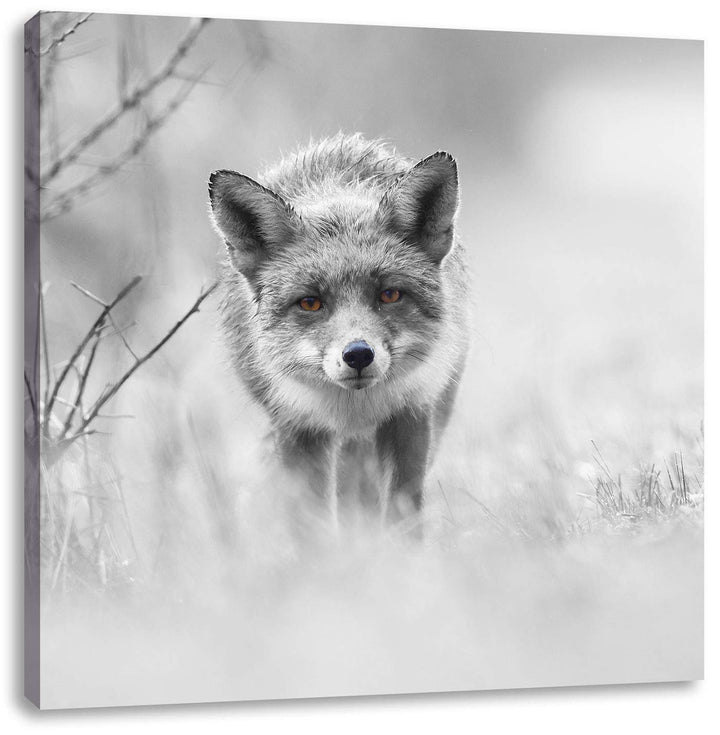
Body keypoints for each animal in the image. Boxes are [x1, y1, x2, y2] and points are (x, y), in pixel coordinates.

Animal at [208, 133, 468, 533]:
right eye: (310, 302)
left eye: (389, 294)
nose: (358, 354)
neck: (354, 408)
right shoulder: (296, 427)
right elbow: (310, 526)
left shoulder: (410, 415)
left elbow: (401, 516)